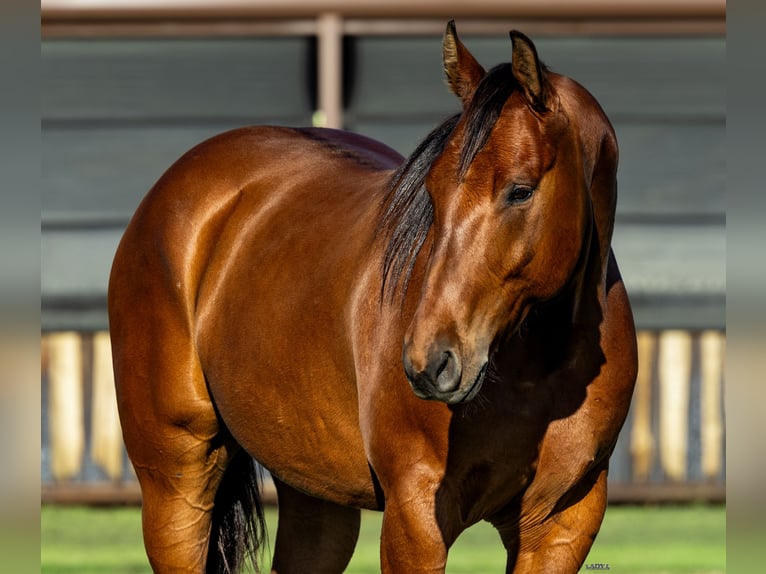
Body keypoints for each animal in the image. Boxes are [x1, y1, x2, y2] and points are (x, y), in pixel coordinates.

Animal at [108, 21, 637, 573]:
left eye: (520, 190)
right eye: (433, 190)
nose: (430, 361)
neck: (541, 370)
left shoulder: (560, 525)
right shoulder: (416, 515)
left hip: (316, 499)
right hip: (176, 485)